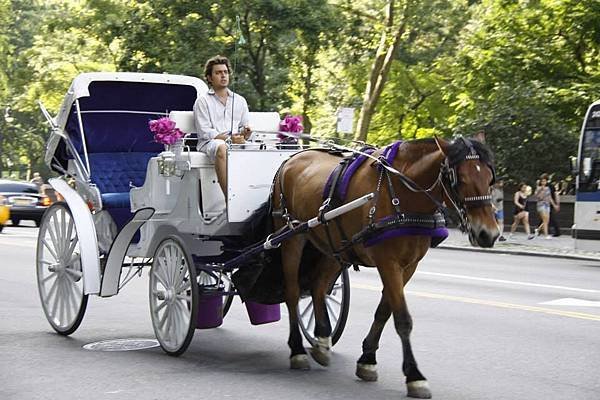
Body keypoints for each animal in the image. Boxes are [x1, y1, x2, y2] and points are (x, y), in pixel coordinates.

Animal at [270, 137, 496, 396]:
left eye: (490, 178)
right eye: (461, 180)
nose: (488, 234)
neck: (402, 195)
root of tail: (291, 159)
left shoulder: (408, 266)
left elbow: (384, 311)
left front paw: (367, 360)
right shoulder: (388, 263)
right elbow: (402, 319)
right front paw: (414, 376)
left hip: (334, 245)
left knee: (318, 287)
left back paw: (322, 341)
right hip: (291, 238)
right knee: (293, 293)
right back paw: (297, 350)